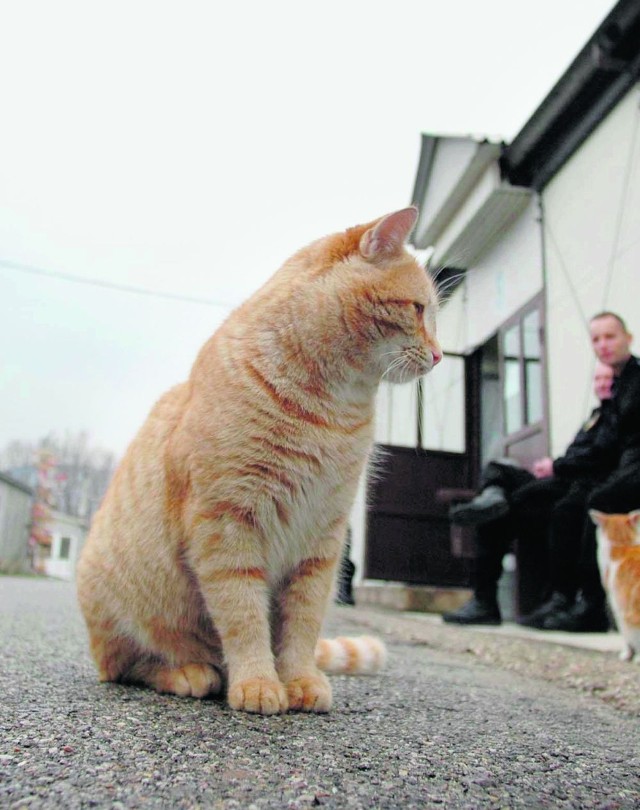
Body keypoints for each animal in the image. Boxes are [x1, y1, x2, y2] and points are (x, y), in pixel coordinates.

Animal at [76, 207, 440, 712]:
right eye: (418, 309)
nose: (439, 356)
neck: (328, 412)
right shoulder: (226, 524)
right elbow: (243, 614)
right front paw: (259, 683)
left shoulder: (322, 540)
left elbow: (302, 623)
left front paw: (299, 679)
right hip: (115, 601)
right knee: (126, 666)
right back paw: (191, 672)